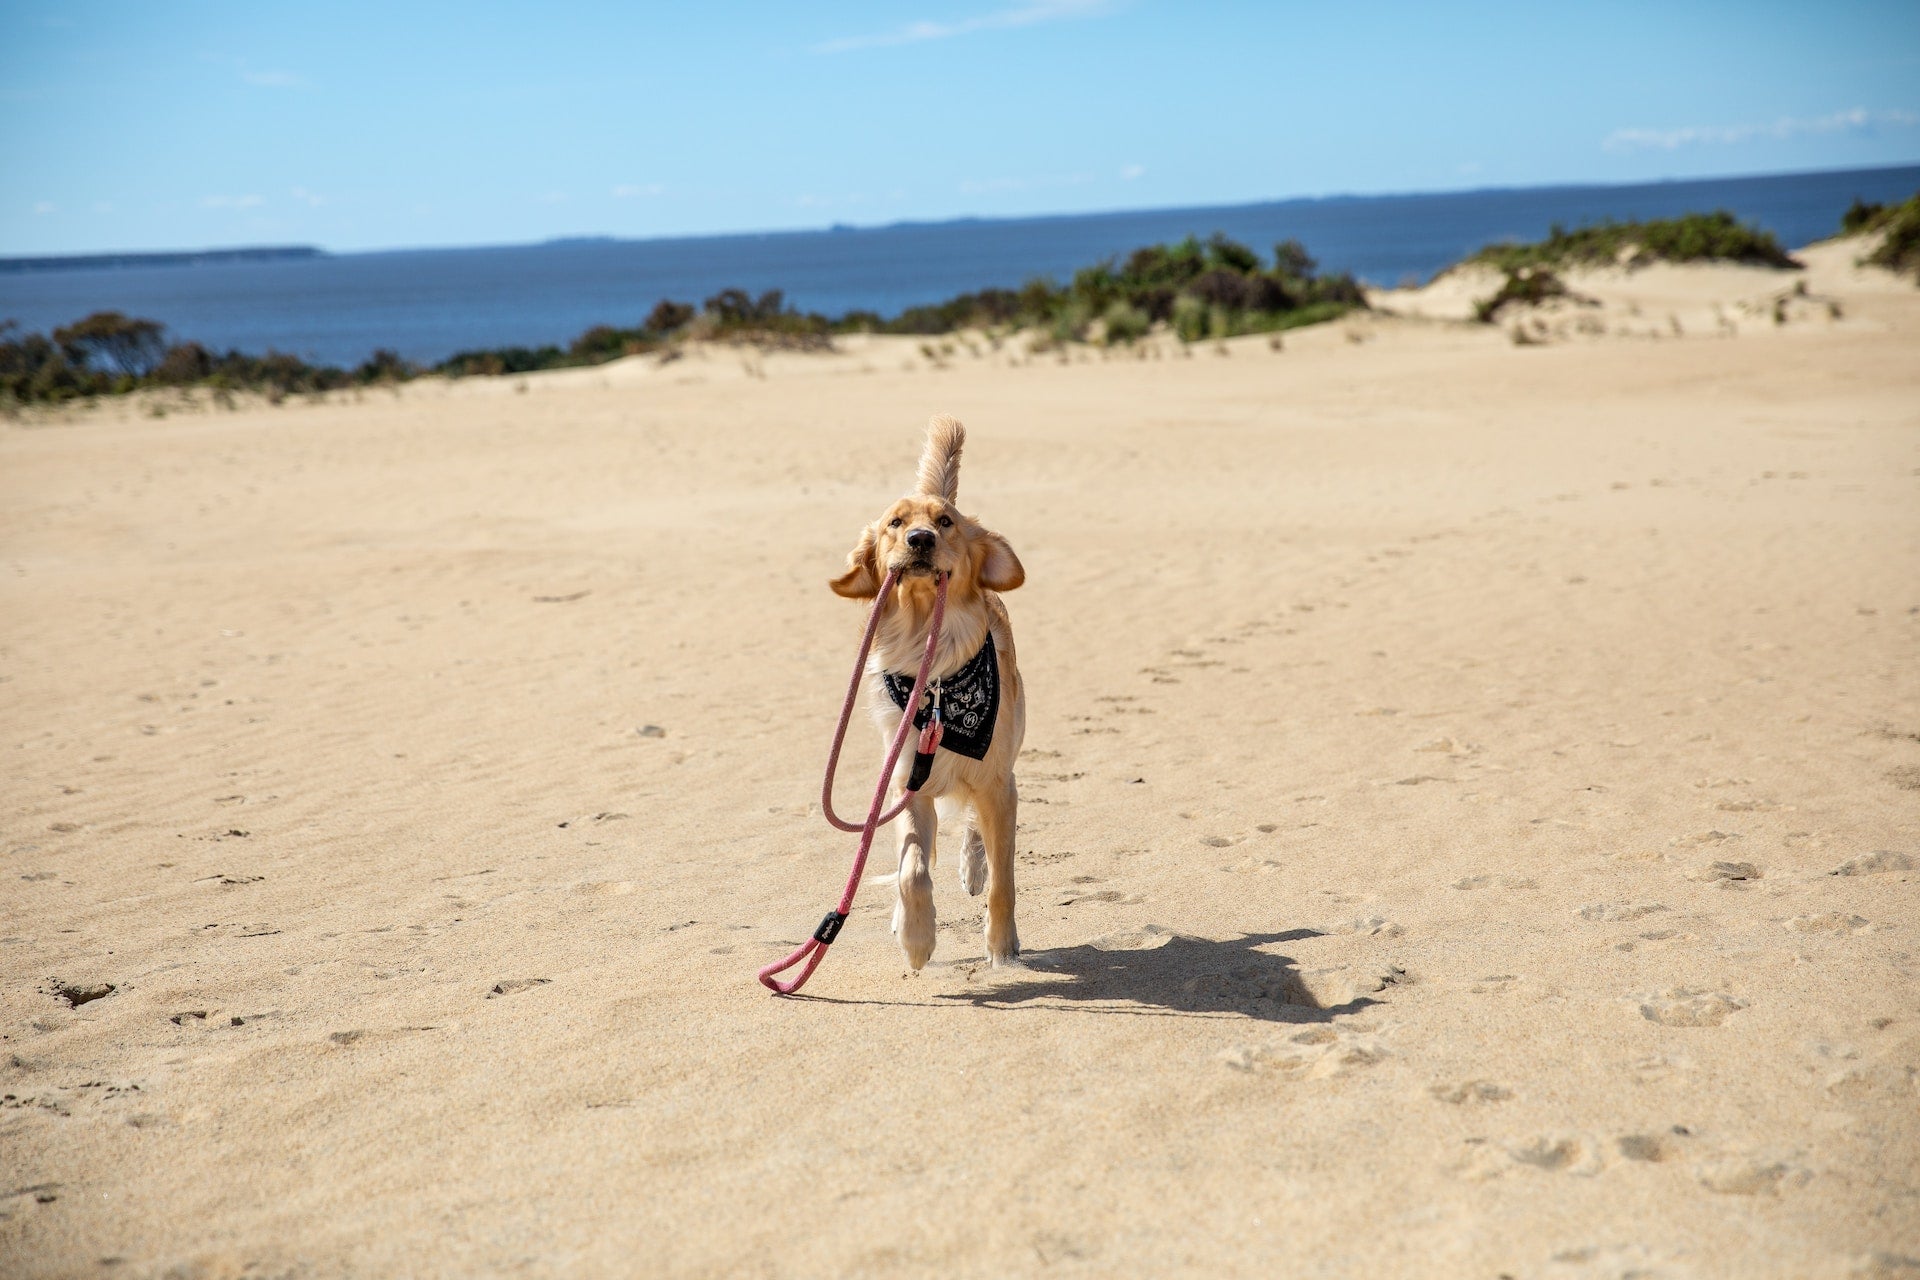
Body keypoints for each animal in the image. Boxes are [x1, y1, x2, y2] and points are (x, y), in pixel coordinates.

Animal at [833, 420, 1029, 971]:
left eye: (946, 522)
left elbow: (1003, 882)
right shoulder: (906, 785)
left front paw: (1002, 947)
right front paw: (917, 938)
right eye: (895, 523)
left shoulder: (997, 783)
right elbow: (912, 870)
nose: (920, 538)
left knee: (977, 831)